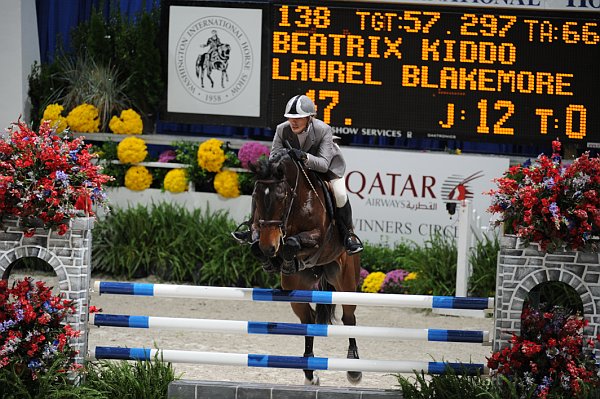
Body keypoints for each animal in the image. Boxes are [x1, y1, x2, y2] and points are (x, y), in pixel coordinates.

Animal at [247, 150, 360, 388]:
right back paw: (309, 372)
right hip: (296, 290)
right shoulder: (259, 230)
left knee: (349, 318)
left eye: (282, 198)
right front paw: (273, 260)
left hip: (346, 281)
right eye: (255, 197)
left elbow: (292, 242)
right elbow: (257, 243)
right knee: (308, 321)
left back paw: (354, 369)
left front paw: (285, 255)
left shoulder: (317, 236)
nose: (269, 247)